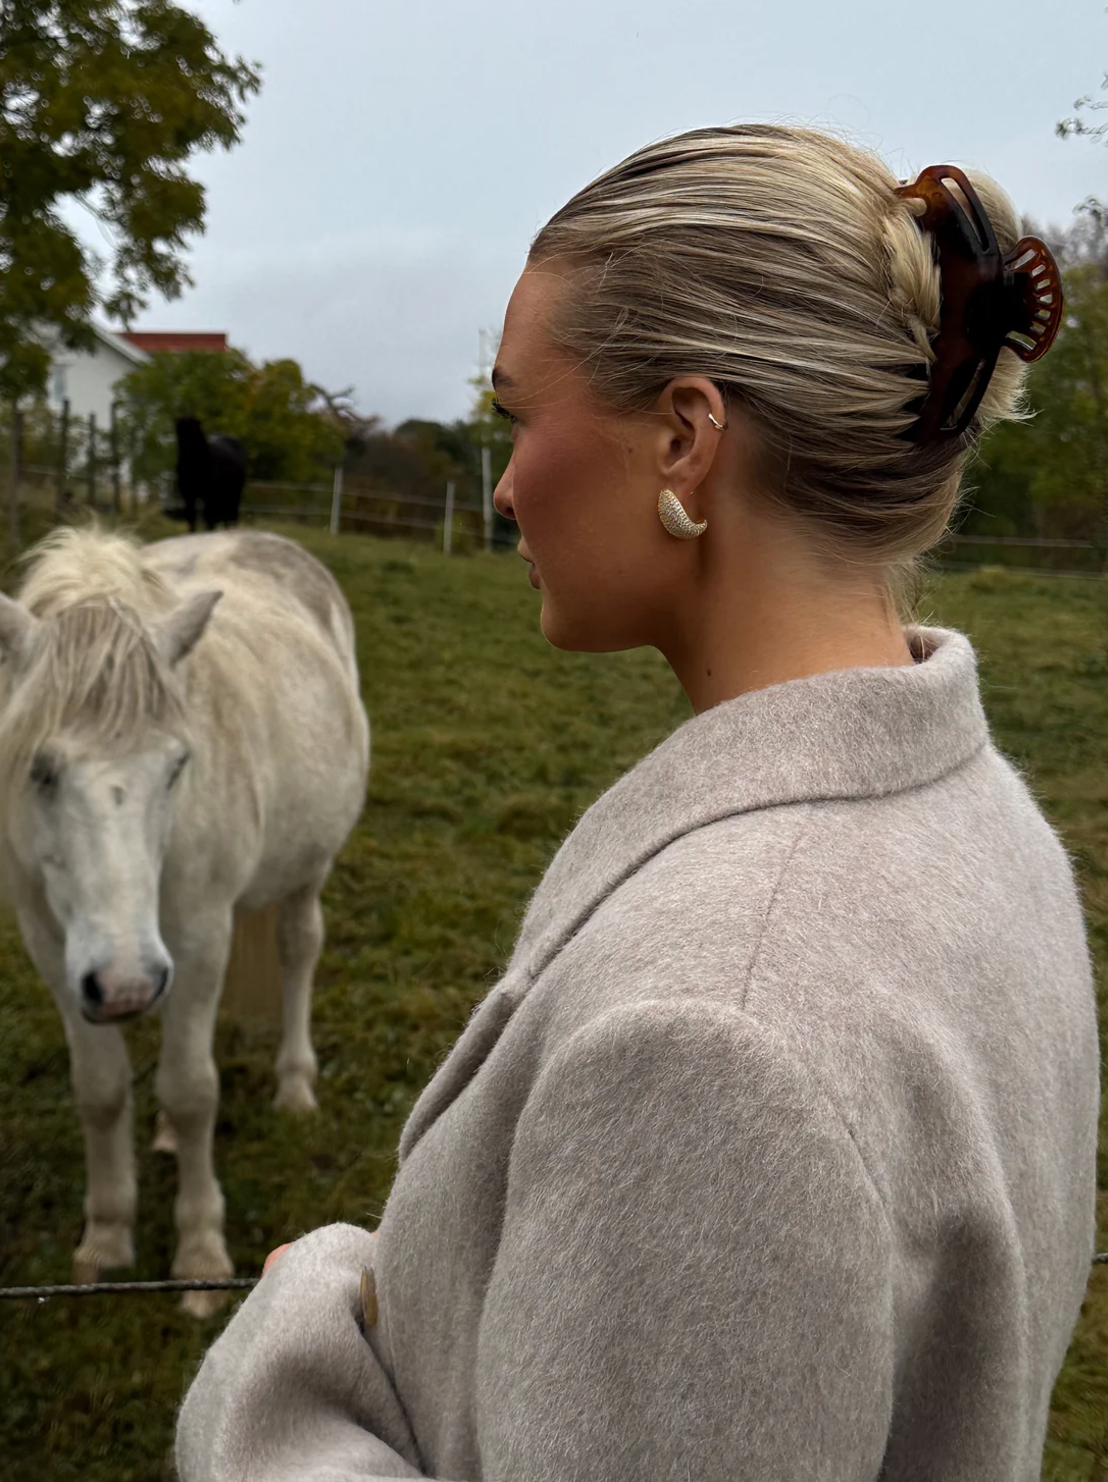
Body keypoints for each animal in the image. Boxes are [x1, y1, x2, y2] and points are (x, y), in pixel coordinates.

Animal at [0, 527, 371, 1316]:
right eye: (39, 771)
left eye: (177, 766)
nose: (127, 986)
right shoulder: (54, 947)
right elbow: (101, 1089)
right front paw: (106, 1239)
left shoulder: (200, 938)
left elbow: (195, 1089)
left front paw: (199, 1252)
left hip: (305, 873)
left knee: (298, 950)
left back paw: (295, 1085)